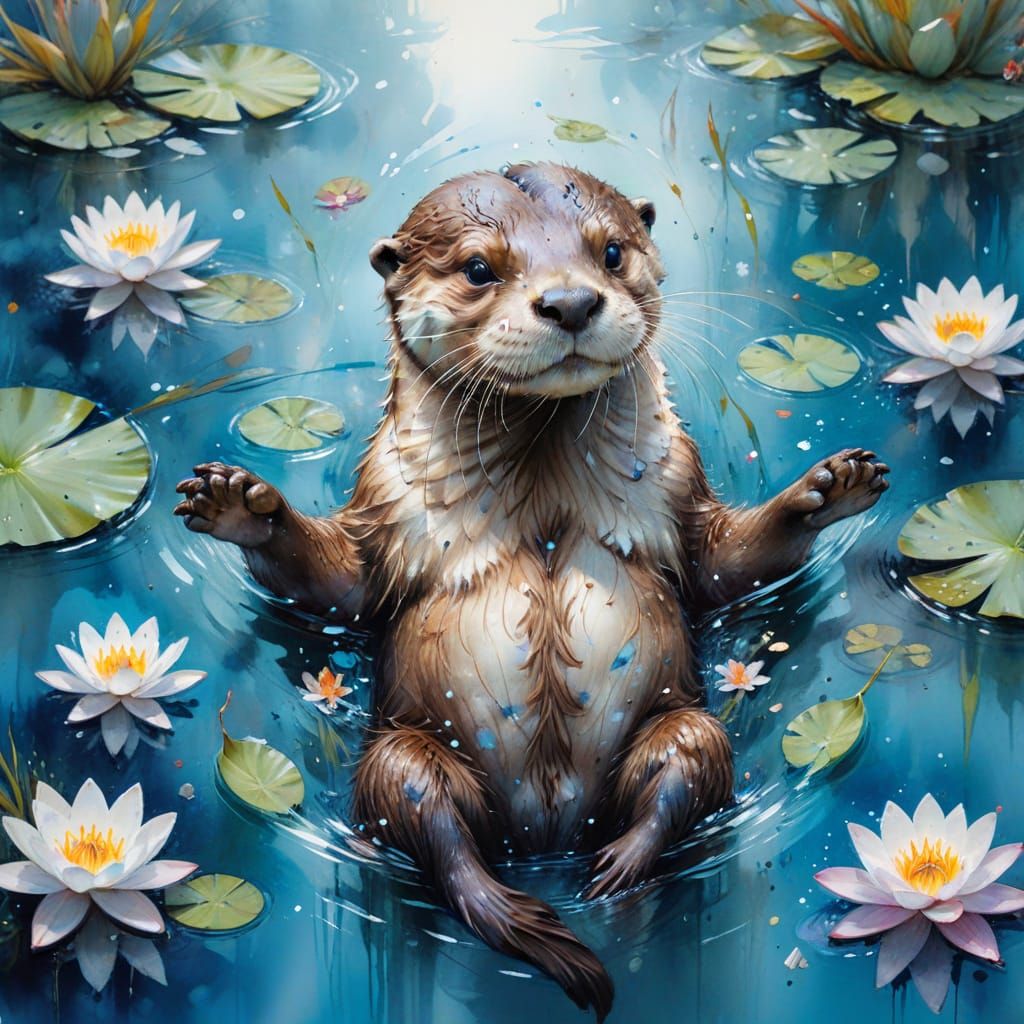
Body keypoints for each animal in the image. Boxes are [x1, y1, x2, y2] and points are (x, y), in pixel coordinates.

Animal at [174, 163, 889, 1020]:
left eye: (611, 252)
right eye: (480, 267)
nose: (572, 301)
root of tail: (545, 841)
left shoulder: (679, 486)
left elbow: (726, 564)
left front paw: (828, 489)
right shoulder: (384, 503)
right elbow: (335, 584)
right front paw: (242, 506)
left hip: (682, 725)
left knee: (679, 774)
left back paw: (618, 867)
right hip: (405, 753)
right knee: (436, 829)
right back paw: (510, 904)